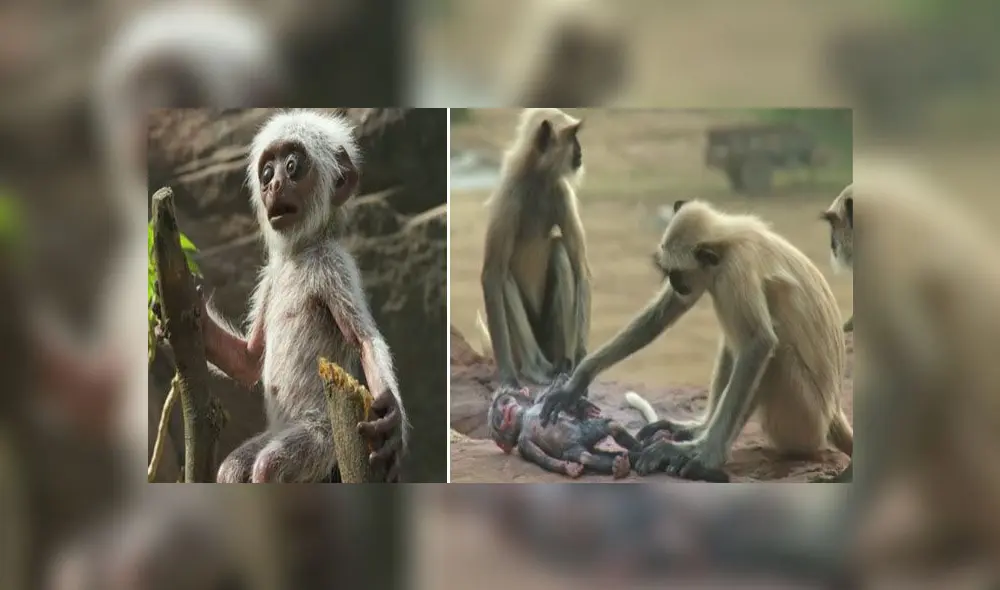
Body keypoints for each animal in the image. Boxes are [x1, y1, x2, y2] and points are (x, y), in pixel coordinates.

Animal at [199, 109, 407, 483]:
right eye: (267, 172)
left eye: (293, 166)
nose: (274, 185)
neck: (299, 254)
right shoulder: (270, 277)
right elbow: (248, 359)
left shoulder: (333, 265)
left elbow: (364, 339)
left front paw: (392, 416)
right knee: (233, 469)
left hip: (324, 439)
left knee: (270, 464)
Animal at [479, 108, 592, 388]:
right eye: (572, 136)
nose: (580, 150)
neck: (537, 178)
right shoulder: (507, 195)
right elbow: (492, 274)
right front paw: (507, 377)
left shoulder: (562, 192)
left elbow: (580, 268)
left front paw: (582, 360)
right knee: (504, 276)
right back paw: (534, 368)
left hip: (552, 340)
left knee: (559, 251)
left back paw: (564, 363)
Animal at [540, 199, 853, 481]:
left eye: (676, 274)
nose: (675, 284)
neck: (727, 241)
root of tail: (832, 414)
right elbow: (665, 312)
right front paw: (576, 382)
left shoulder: (733, 271)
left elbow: (759, 343)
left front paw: (706, 455)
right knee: (734, 344)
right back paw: (696, 429)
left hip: (804, 421)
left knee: (769, 352)